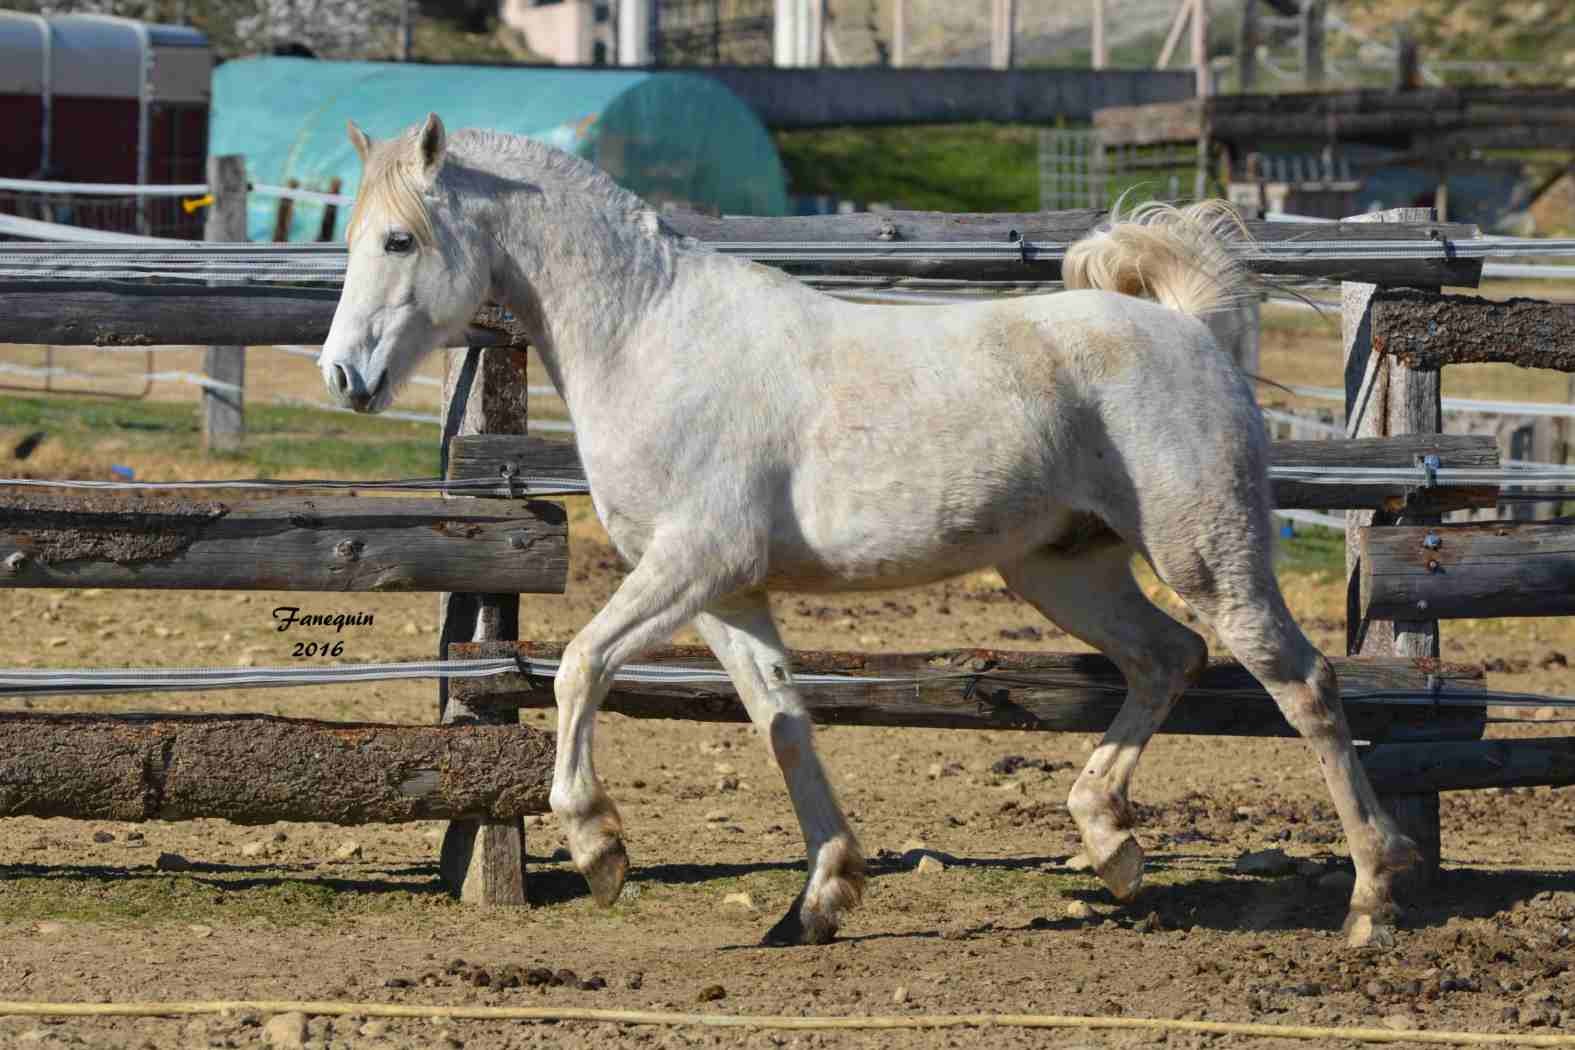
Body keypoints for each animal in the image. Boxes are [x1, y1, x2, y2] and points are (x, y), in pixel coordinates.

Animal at [319, 117, 1417, 950]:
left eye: (398, 242)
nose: (344, 379)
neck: (650, 339)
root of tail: (1190, 329)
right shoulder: (728, 591)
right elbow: (782, 720)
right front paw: (819, 900)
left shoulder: (693, 562)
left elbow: (583, 665)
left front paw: (599, 850)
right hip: (1063, 571)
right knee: (1165, 658)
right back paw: (1112, 847)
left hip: (1207, 556)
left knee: (1303, 685)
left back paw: (1372, 900)